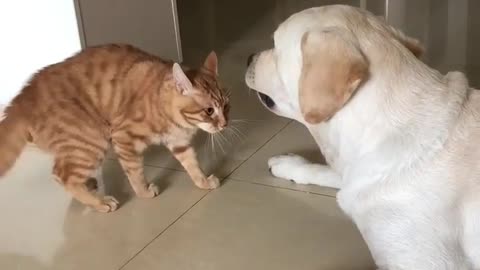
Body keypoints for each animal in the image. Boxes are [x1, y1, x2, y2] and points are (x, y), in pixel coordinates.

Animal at [0, 44, 230, 212]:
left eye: (227, 105)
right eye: (209, 110)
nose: (224, 123)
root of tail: (22, 99)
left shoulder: (179, 142)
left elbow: (193, 165)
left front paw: (203, 182)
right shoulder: (123, 136)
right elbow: (135, 172)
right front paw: (144, 192)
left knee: (62, 171)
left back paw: (89, 185)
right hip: (92, 138)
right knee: (63, 174)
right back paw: (99, 202)